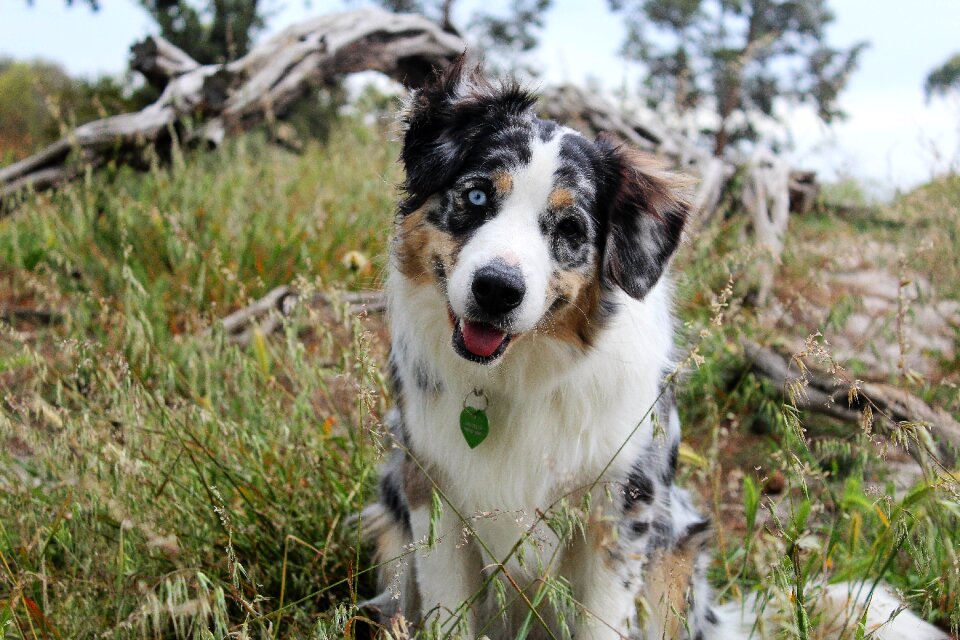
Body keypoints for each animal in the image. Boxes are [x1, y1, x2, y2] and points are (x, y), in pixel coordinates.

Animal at [356, 60, 948, 640]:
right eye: (477, 196)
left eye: (569, 228)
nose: (496, 290)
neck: (517, 377)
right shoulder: (432, 500)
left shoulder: (622, 512)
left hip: (674, 548)